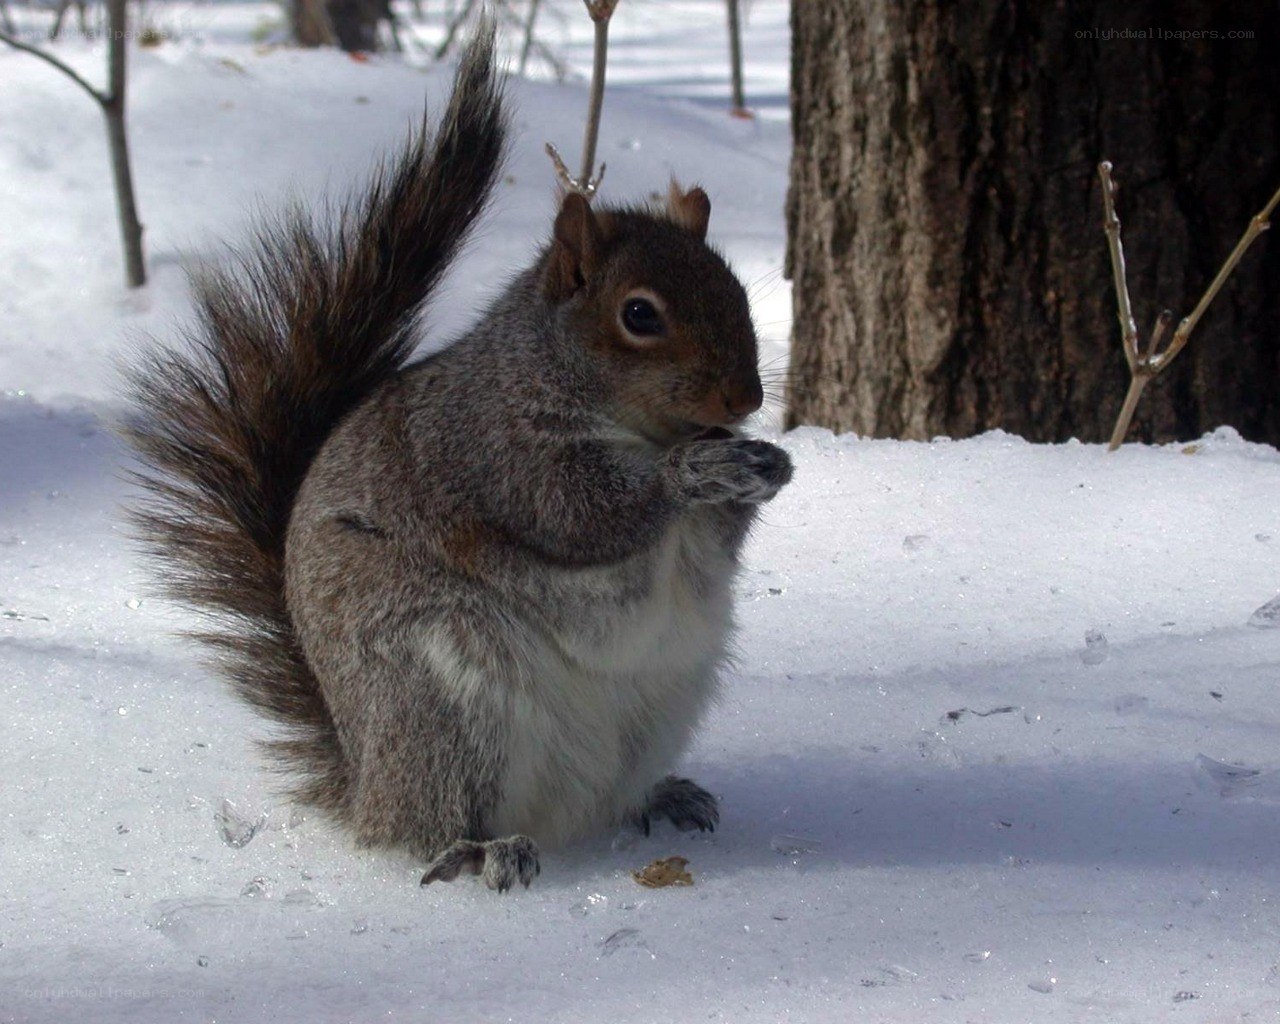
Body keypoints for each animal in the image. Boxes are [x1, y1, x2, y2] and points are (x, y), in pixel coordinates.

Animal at [124, 25, 793, 892]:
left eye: (738, 292)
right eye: (639, 315)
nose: (744, 398)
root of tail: (364, 781)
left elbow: (717, 541)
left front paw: (766, 468)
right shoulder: (489, 447)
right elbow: (578, 512)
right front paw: (695, 474)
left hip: (657, 708)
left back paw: (660, 798)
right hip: (441, 701)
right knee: (421, 829)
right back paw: (478, 850)